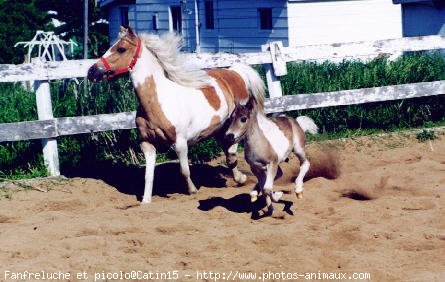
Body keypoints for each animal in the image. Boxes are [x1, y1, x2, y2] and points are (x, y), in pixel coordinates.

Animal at [88, 27, 266, 203]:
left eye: (121, 49)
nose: (92, 72)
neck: (158, 102)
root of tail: (236, 72)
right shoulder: (147, 143)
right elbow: (148, 176)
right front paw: (145, 201)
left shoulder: (180, 143)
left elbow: (184, 171)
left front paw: (193, 191)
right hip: (219, 129)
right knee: (229, 153)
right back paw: (240, 178)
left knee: (232, 152)